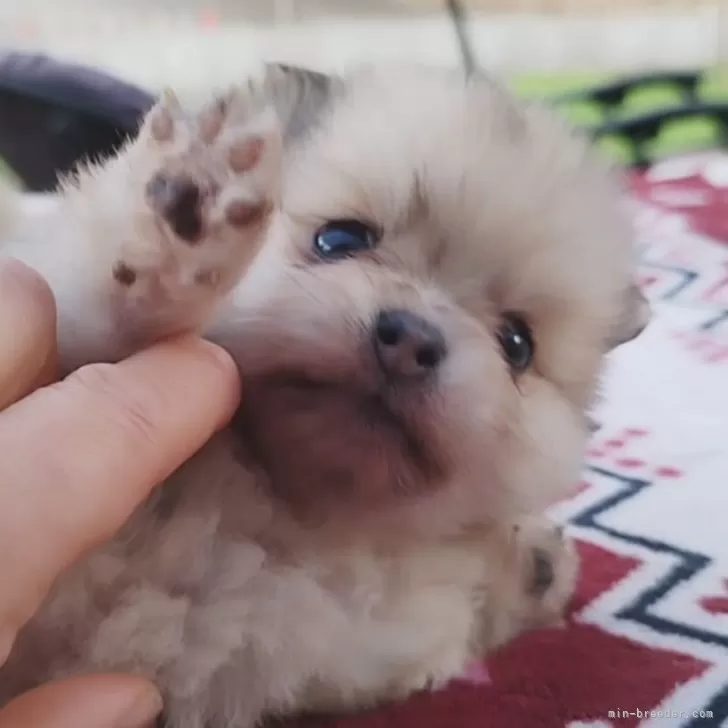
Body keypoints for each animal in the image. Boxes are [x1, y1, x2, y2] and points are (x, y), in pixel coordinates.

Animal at [0, 64, 648, 728]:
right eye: (339, 239)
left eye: (516, 344)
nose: (411, 340)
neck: (281, 510)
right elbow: (96, 310)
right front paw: (184, 212)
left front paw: (528, 567)